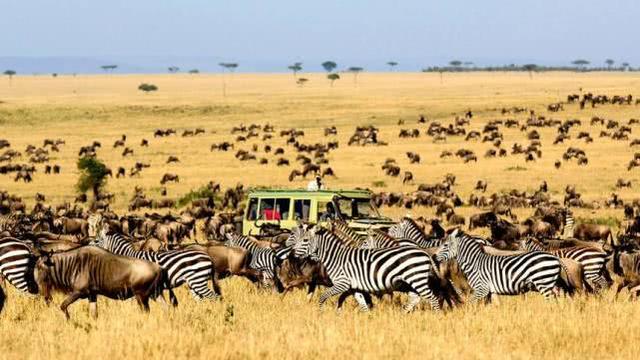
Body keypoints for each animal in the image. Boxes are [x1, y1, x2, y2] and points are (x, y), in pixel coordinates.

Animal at [90, 222, 220, 300]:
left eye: (96, 241)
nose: (88, 246)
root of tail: (208, 257)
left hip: (198, 280)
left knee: (214, 297)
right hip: (193, 282)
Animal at [294, 226, 440, 310]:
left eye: (305, 240)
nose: (293, 252)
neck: (336, 257)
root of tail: (424, 252)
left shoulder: (342, 283)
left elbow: (323, 297)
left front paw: (320, 313)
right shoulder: (354, 287)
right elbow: (363, 304)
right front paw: (367, 319)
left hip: (416, 278)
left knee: (433, 298)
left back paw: (436, 318)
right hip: (411, 281)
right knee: (415, 298)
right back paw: (403, 314)